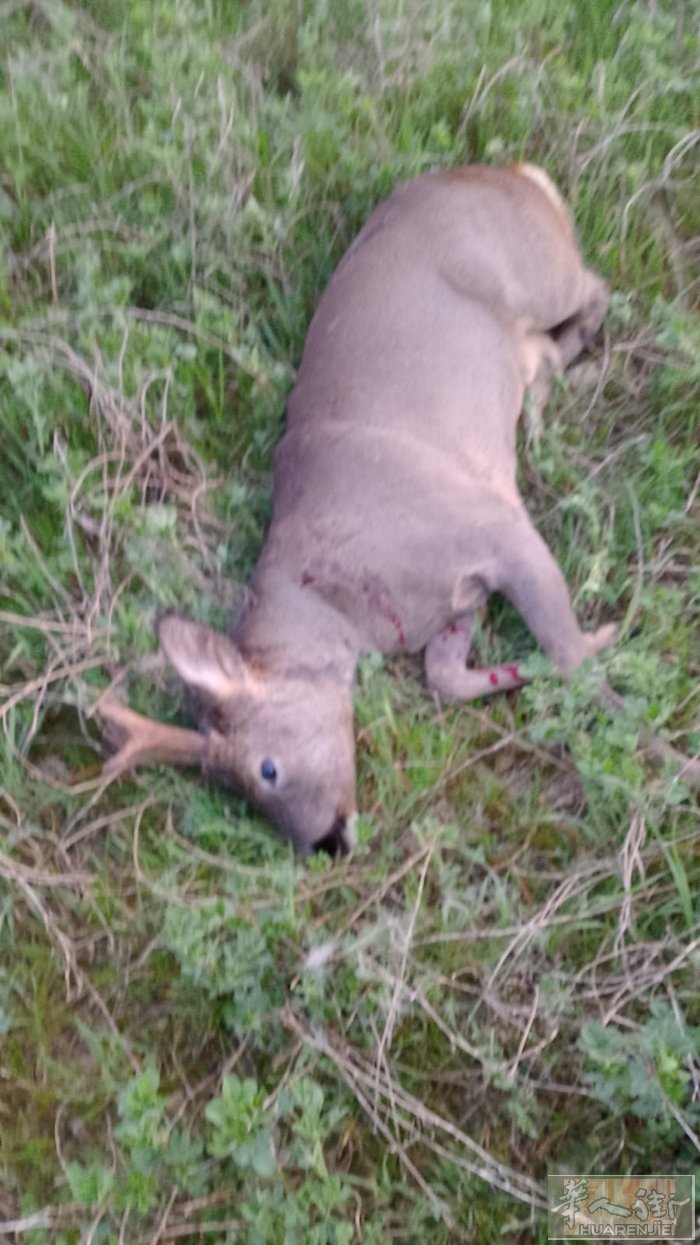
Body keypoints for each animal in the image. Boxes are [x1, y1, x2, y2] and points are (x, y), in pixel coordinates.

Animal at [99, 162, 618, 856]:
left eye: (266, 769)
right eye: (234, 791)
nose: (326, 842)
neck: (342, 598)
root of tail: (505, 169)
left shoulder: (494, 524)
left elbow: (570, 654)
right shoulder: (462, 598)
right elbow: (446, 677)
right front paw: (518, 671)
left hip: (541, 272)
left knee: (597, 283)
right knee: (550, 339)